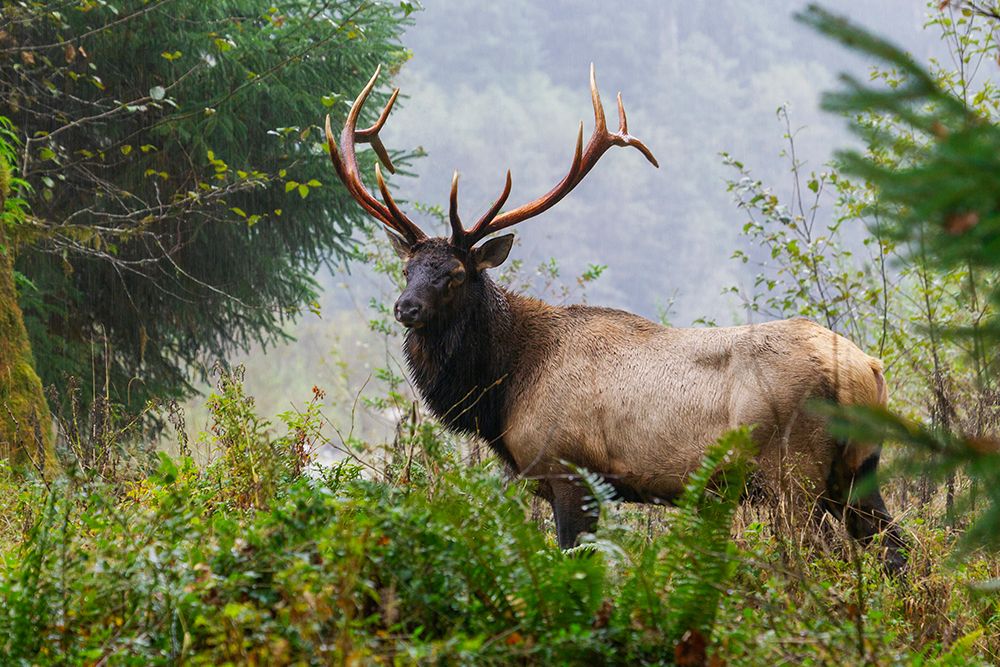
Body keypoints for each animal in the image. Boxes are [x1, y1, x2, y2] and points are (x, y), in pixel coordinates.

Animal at [323, 64, 908, 573]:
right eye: (407, 269)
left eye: (455, 274)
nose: (406, 308)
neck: (504, 388)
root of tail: (868, 371)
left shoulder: (569, 470)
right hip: (858, 472)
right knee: (898, 551)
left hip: (795, 474)